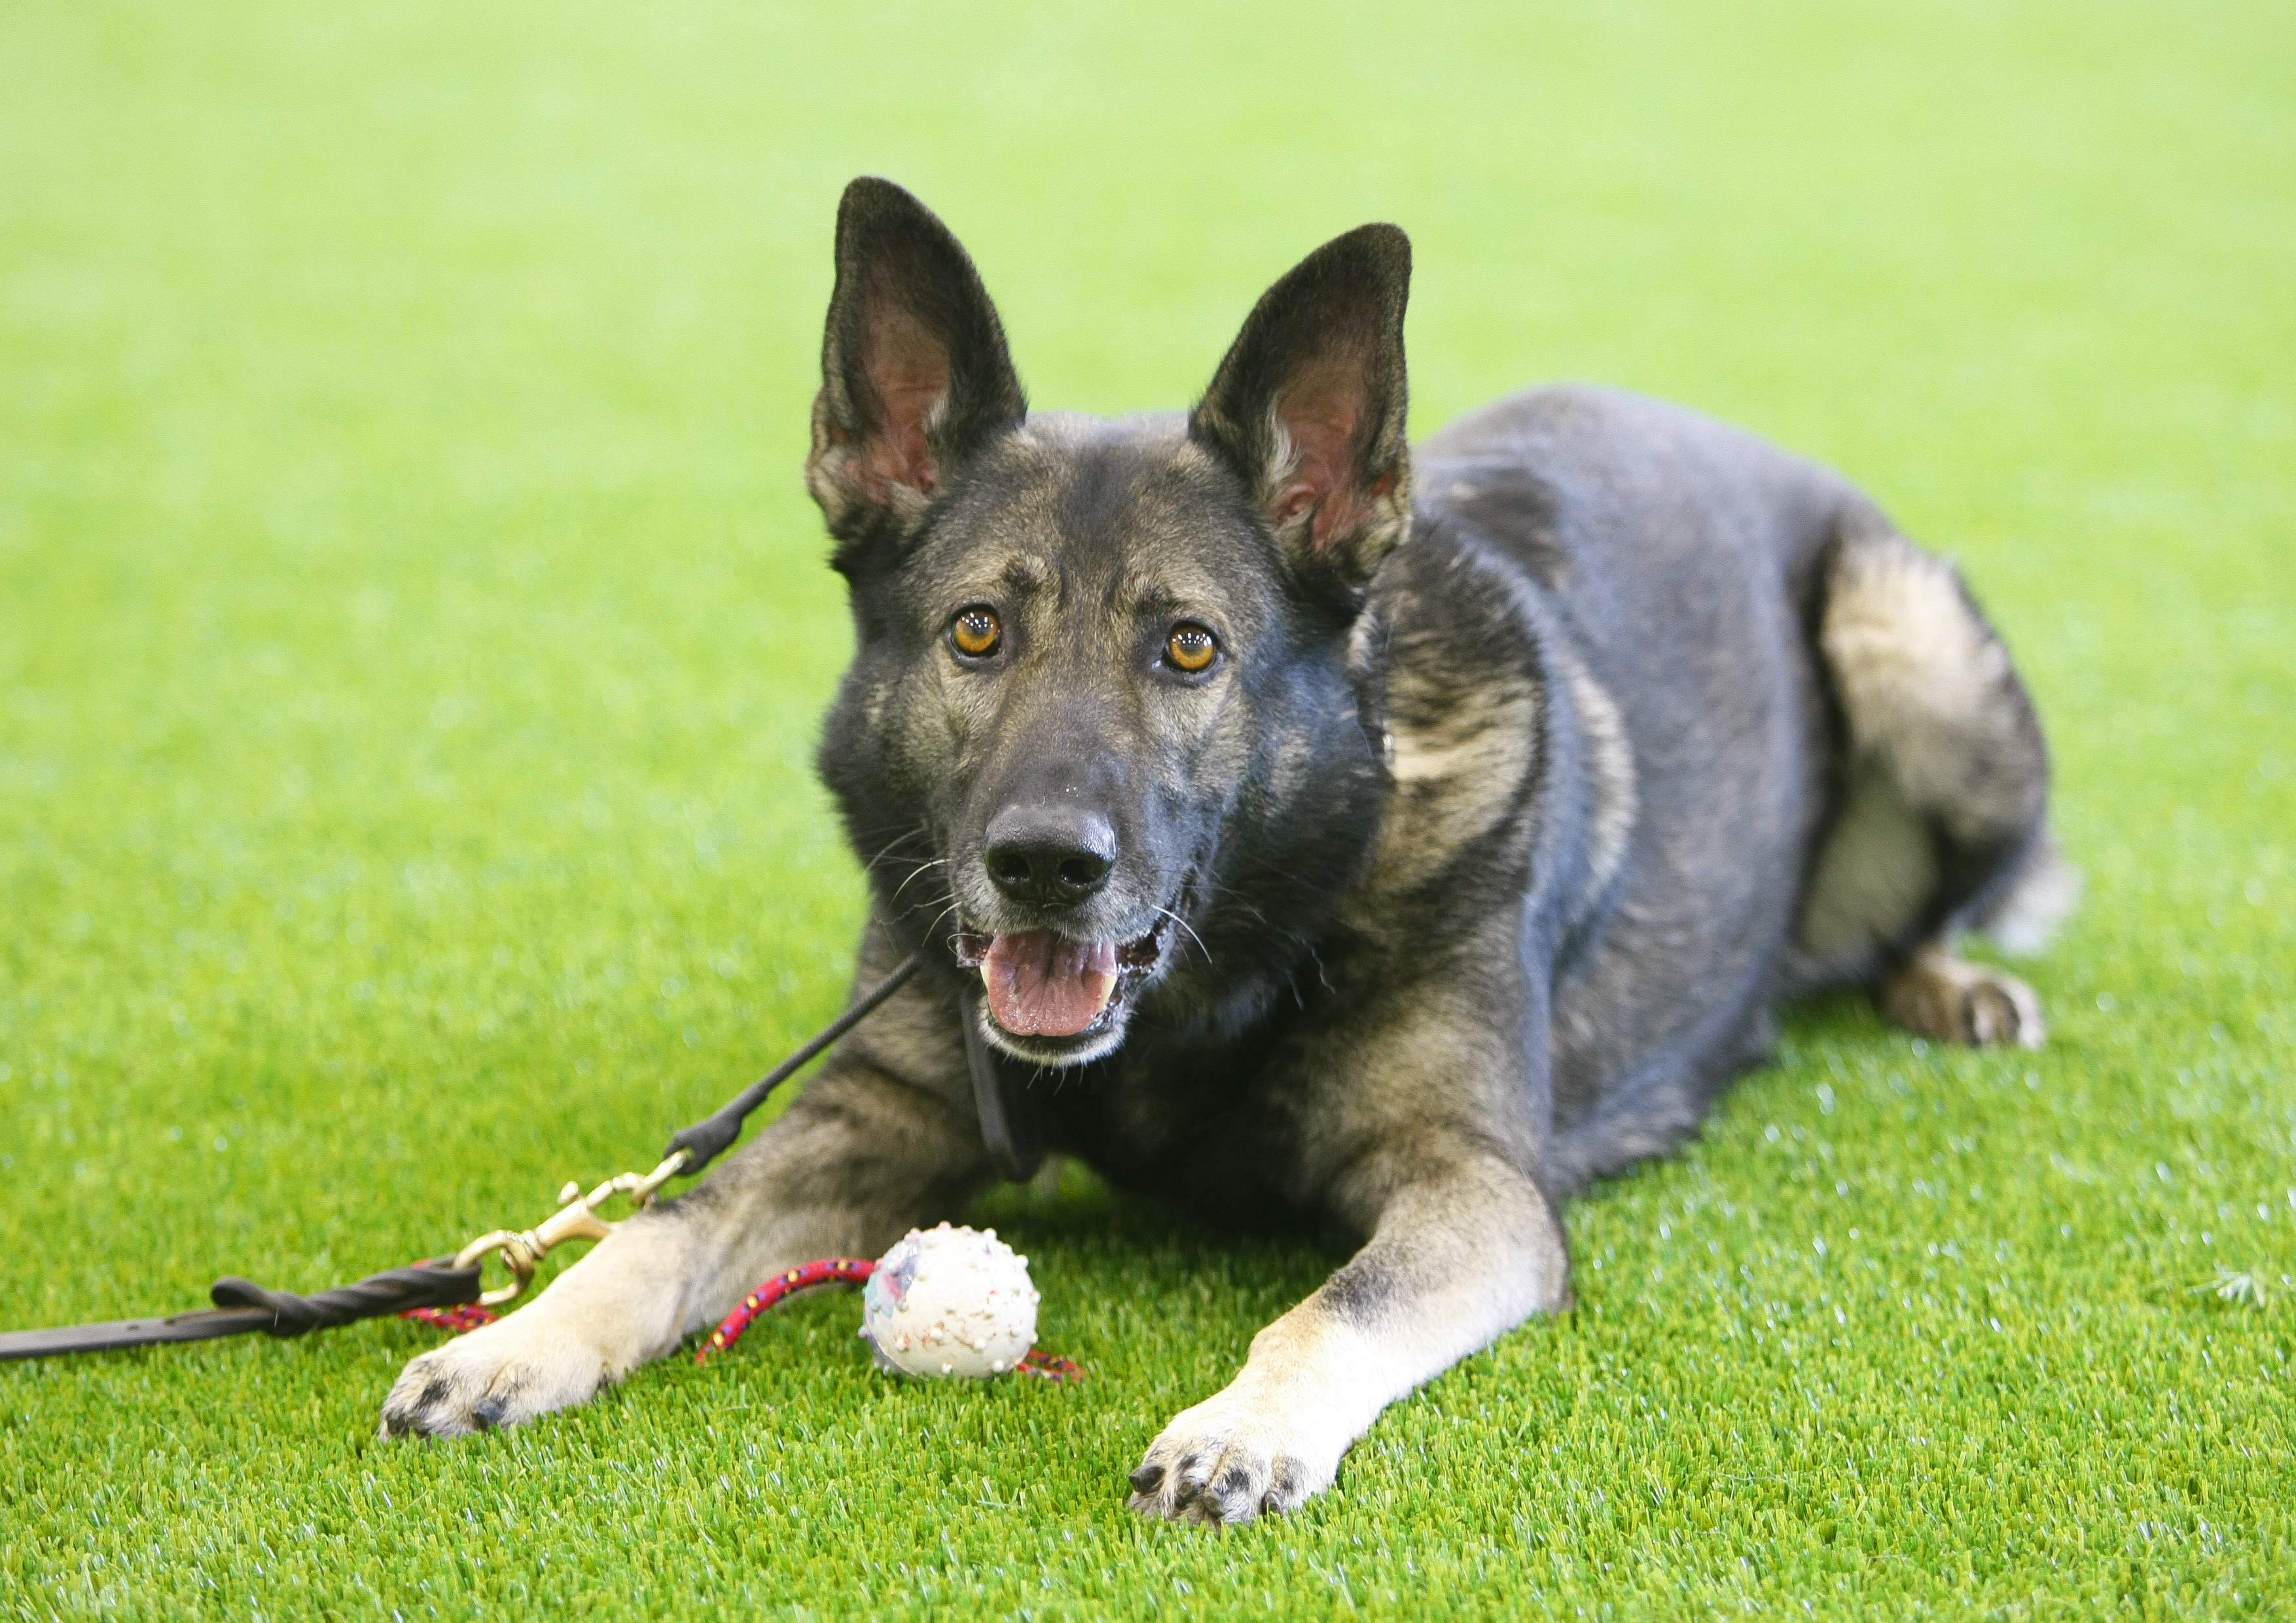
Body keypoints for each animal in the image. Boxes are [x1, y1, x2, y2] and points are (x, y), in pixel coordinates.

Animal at [381, 183, 2085, 1533]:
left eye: (1188, 649)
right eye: (976, 633)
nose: (1044, 867)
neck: (1214, 984)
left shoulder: (1473, 1189)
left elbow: (1331, 1307)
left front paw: (1239, 1432)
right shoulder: (877, 1108)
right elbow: (658, 1229)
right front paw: (513, 1335)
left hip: (1910, 643)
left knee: (1931, 900)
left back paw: (1947, 980)